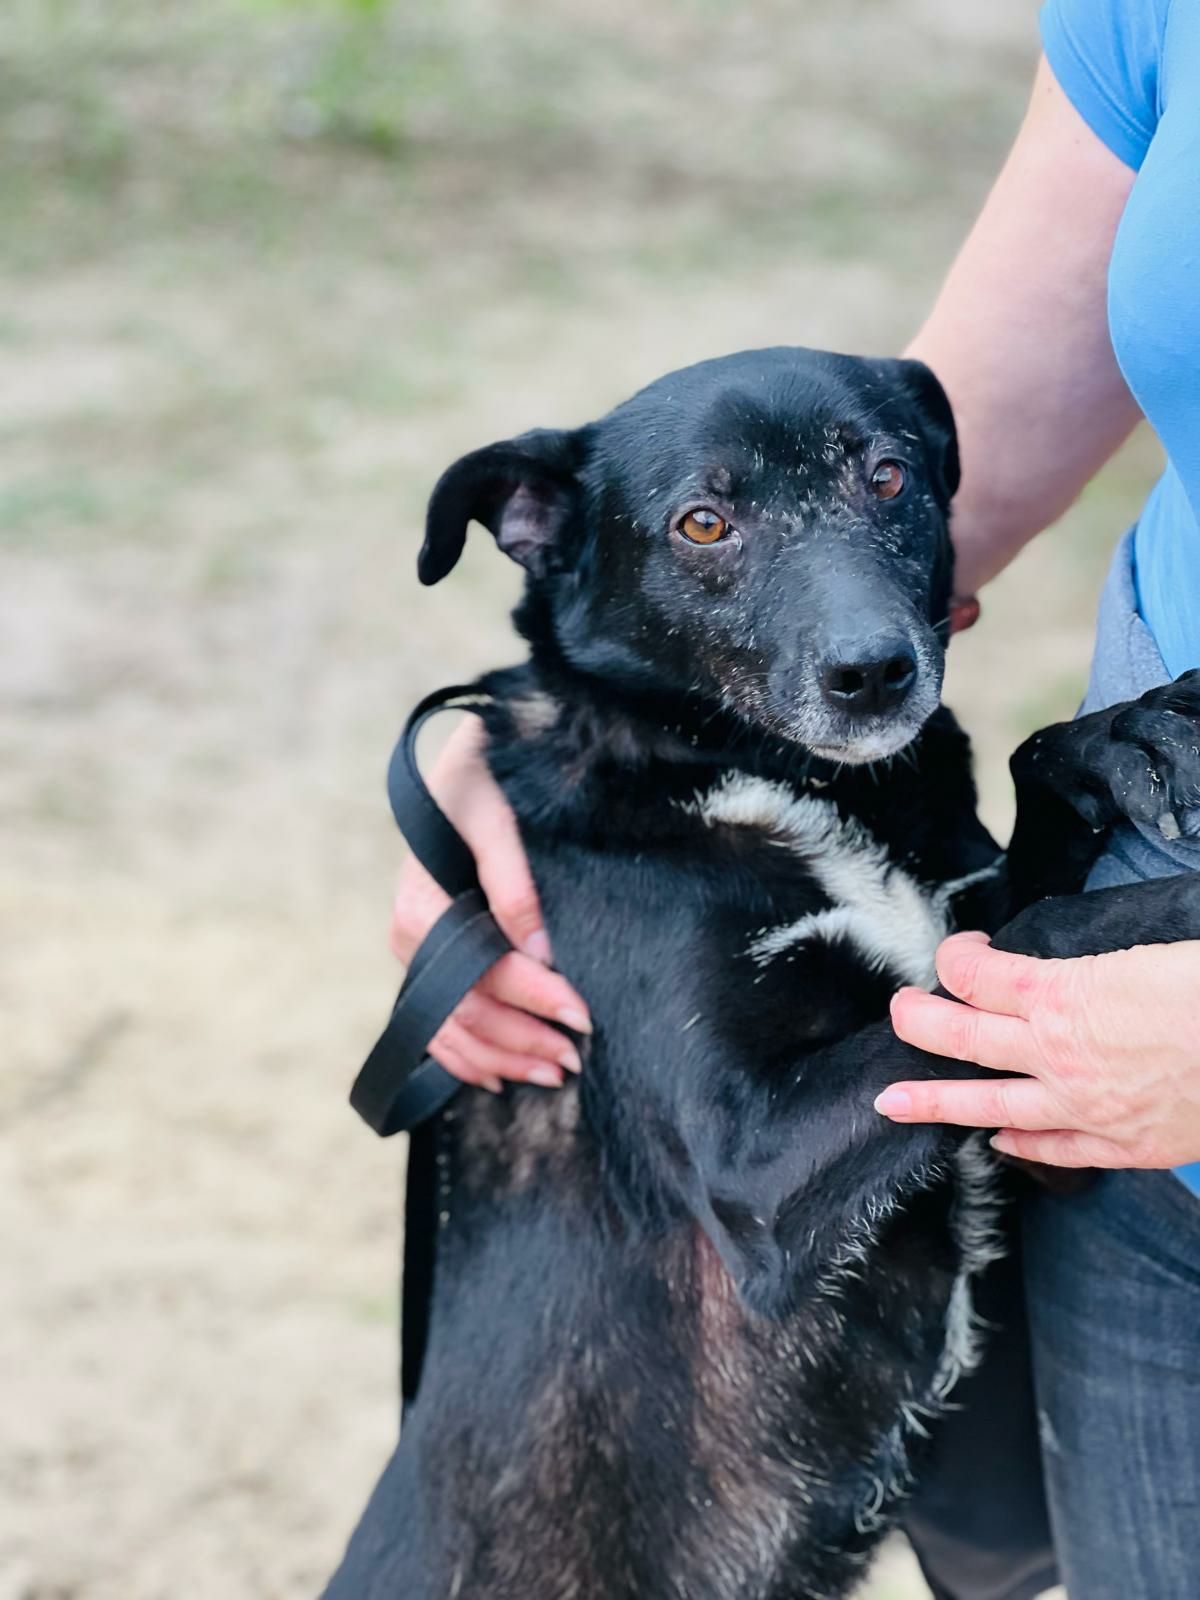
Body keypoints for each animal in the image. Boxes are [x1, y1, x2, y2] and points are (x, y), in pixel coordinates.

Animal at [324, 350, 1200, 1600]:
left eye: (887, 475)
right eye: (704, 521)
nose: (873, 672)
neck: (770, 774)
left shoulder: (1003, 1066)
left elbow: (1015, 859)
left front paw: (1121, 738)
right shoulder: (754, 1165)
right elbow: (1017, 952)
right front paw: (1165, 912)